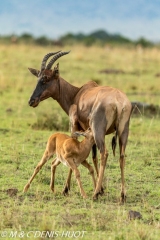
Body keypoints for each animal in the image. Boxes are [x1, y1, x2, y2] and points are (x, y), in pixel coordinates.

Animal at [27, 50, 132, 202]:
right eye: (38, 77)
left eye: (46, 78)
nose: (32, 101)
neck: (77, 93)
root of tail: (118, 101)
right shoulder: (89, 133)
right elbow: (93, 157)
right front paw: (101, 189)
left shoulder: (74, 127)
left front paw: (66, 189)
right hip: (124, 132)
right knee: (121, 156)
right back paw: (122, 195)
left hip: (98, 131)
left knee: (104, 153)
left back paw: (95, 194)